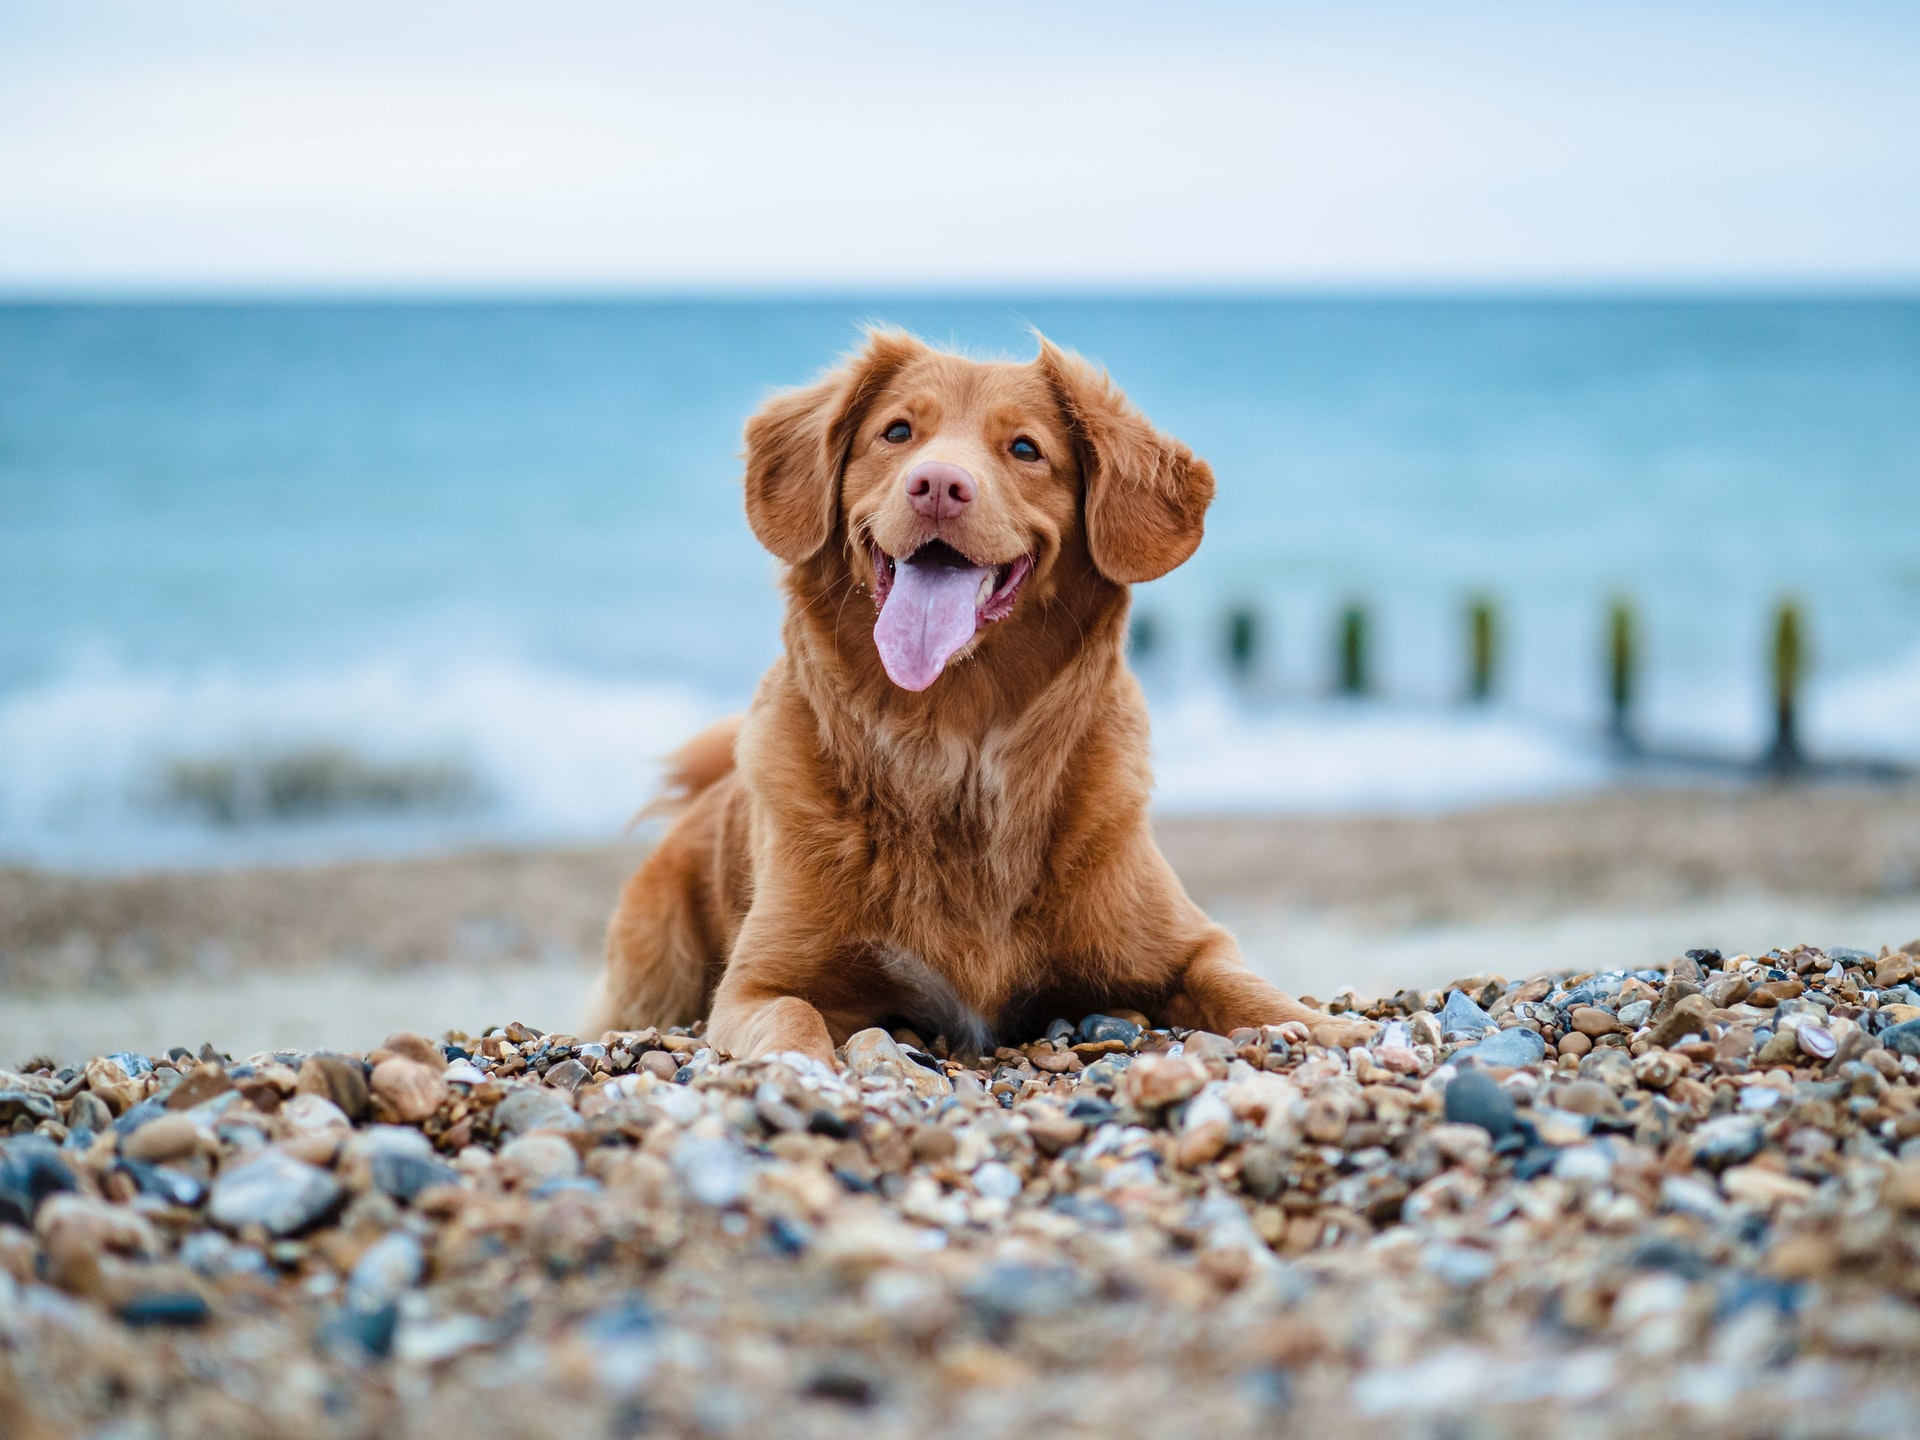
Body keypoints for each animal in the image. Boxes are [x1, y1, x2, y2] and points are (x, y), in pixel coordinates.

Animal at [591, 336, 1374, 1059]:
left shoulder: (1188, 942)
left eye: (1025, 448)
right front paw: (805, 1072)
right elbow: (792, 1018)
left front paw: (1325, 1030)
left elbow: (1242, 984)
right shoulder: (758, 983)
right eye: (898, 432)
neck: (953, 748)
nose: (937, 484)